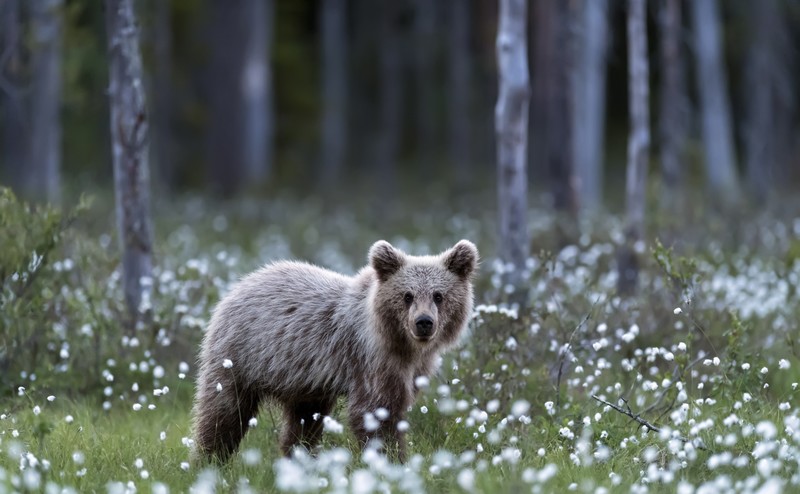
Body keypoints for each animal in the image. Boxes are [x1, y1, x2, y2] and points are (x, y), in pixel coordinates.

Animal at [192, 239, 478, 462]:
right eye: (407, 295)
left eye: (439, 295)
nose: (424, 322)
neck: (400, 343)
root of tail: (240, 284)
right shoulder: (370, 360)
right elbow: (375, 412)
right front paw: (391, 460)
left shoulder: (411, 368)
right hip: (241, 355)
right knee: (224, 411)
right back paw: (210, 459)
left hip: (304, 382)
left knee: (303, 422)